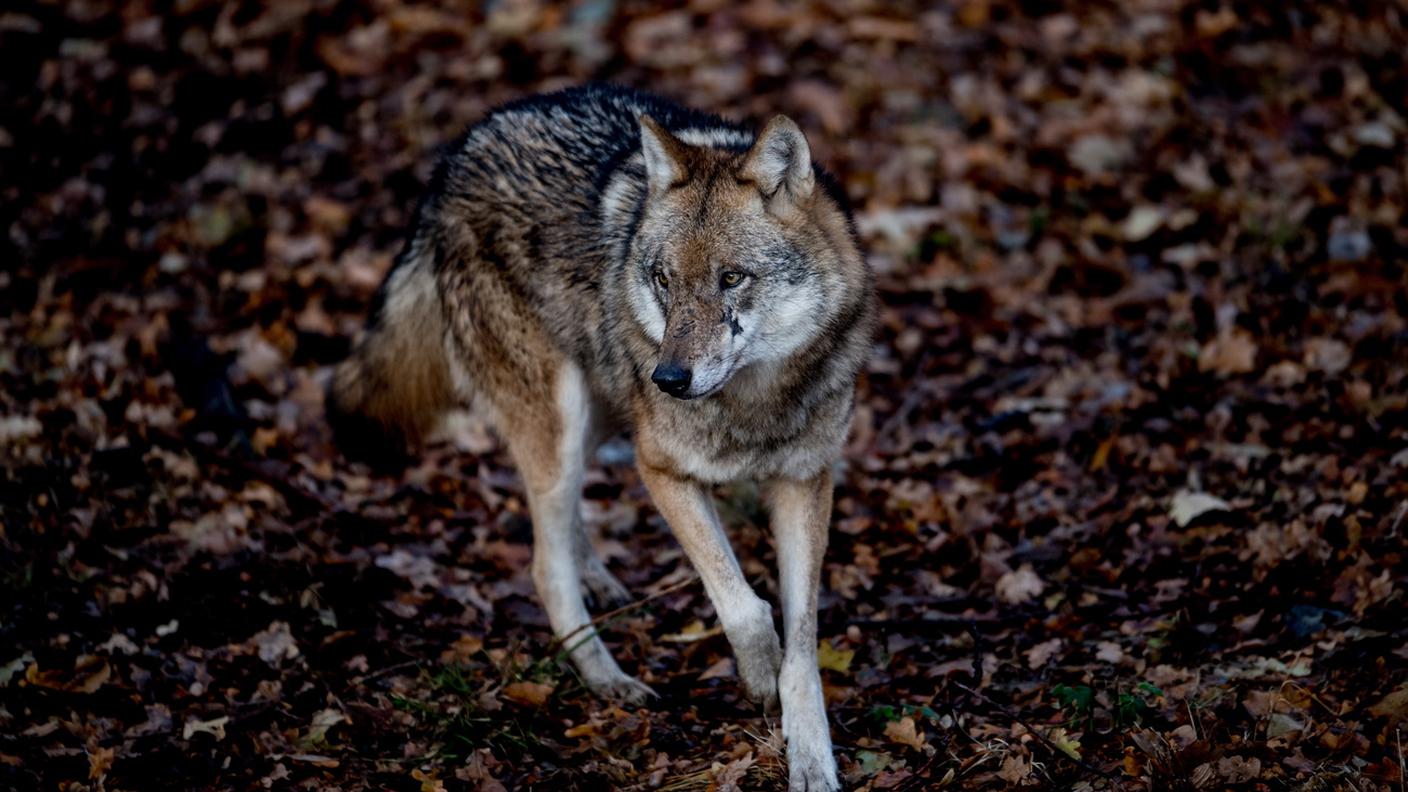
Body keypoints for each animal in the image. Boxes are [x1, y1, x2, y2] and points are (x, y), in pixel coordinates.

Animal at [332, 86, 878, 789]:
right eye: (664, 280)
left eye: (732, 278)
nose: (669, 379)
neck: (755, 403)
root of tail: (457, 156)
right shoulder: (661, 470)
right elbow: (745, 606)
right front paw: (758, 679)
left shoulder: (805, 480)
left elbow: (803, 641)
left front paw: (810, 756)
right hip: (561, 425)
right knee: (544, 564)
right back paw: (608, 678)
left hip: (599, 414)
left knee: (562, 526)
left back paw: (598, 578)